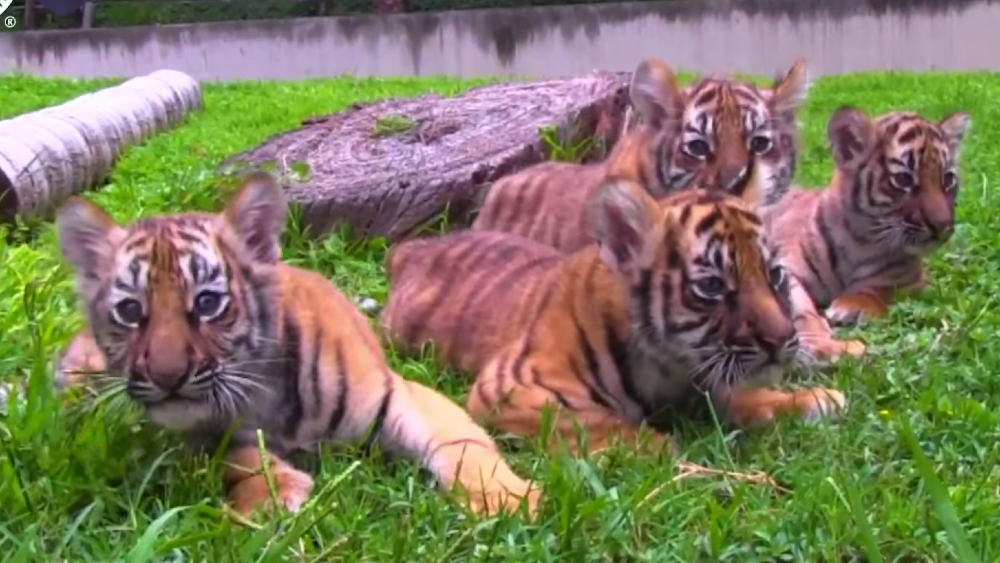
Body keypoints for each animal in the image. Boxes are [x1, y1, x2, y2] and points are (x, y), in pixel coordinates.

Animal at [52, 172, 540, 518]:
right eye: (130, 311)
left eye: (208, 302)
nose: (167, 377)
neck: (267, 394)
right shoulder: (204, 434)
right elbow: (241, 455)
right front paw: (273, 495)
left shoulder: (401, 394)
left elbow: (463, 443)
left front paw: (506, 498)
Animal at [379, 178, 846, 455]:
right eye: (712, 286)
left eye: (775, 274)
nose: (782, 340)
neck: (670, 364)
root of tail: (412, 247)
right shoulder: (511, 387)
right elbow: (597, 424)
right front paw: (665, 450)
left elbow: (738, 394)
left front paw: (811, 399)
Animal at [762, 106, 970, 347]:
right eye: (904, 179)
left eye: (948, 179)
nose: (942, 226)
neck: (860, 241)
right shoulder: (787, 270)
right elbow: (800, 308)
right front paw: (817, 337)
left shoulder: (913, 281)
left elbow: (883, 290)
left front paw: (850, 307)